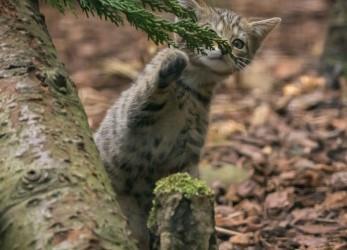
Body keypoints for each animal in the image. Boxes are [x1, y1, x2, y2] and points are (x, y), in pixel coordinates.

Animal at [94, 0, 282, 246]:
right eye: (209, 33)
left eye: (238, 43)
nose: (224, 48)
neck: (193, 86)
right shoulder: (131, 116)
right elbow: (150, 90)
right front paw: (170, 64)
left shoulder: (187, 153)